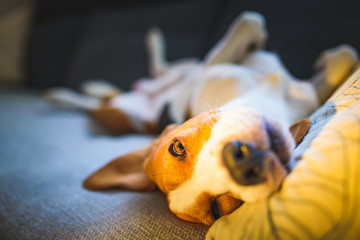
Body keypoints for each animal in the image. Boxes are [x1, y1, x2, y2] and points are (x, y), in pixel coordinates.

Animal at [46, 11, 358, 225]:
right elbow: (248, 23)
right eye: (217, 209)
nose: (241, 162)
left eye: (176, 147)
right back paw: (62, 95)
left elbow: (250, 22)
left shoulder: (209, 71)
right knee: (99, 105)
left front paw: (328, 58)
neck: (270, 98)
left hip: (180, 70)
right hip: (124, 114)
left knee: (164, 69)